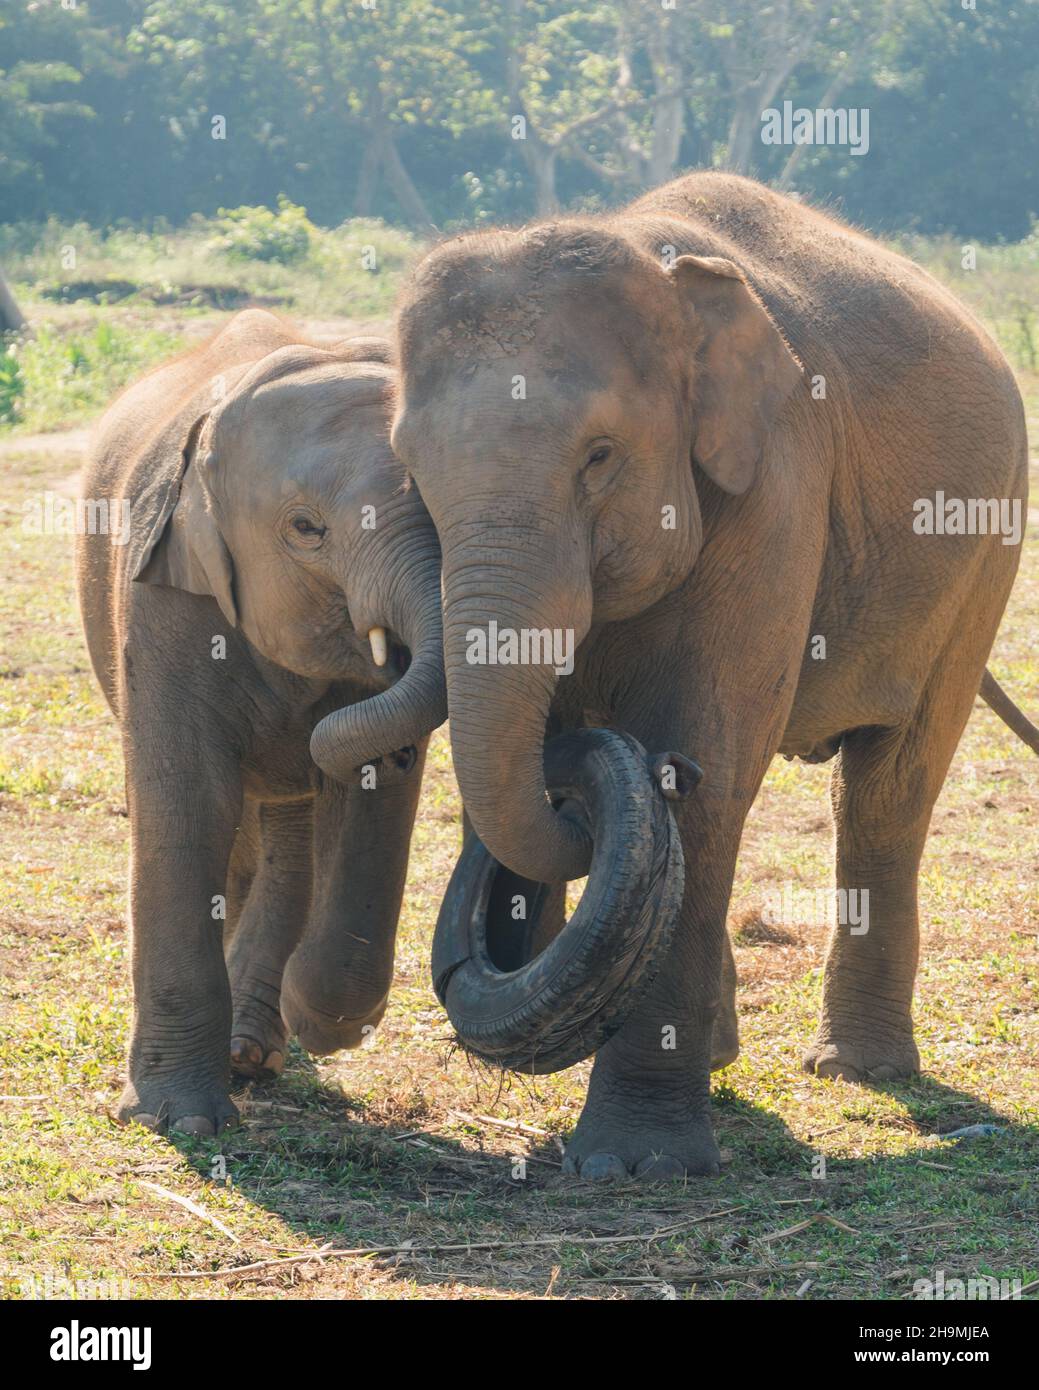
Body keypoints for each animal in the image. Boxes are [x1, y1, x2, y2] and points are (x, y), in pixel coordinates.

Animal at [76, 309, 442, 1134]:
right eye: (305, 528)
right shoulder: (161, 592)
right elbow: (187, 801)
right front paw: (179, 1121)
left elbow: (369, 801)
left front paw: (320, 1015)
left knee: (285, 828)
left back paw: (253, 1048)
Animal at [375, 168, 1034, 1178]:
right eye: (409, 468)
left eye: (599, 456)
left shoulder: (778, 484)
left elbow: (707, 771)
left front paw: (636, 1166)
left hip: (983, 553)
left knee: (889, 786)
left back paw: (854, 1070)